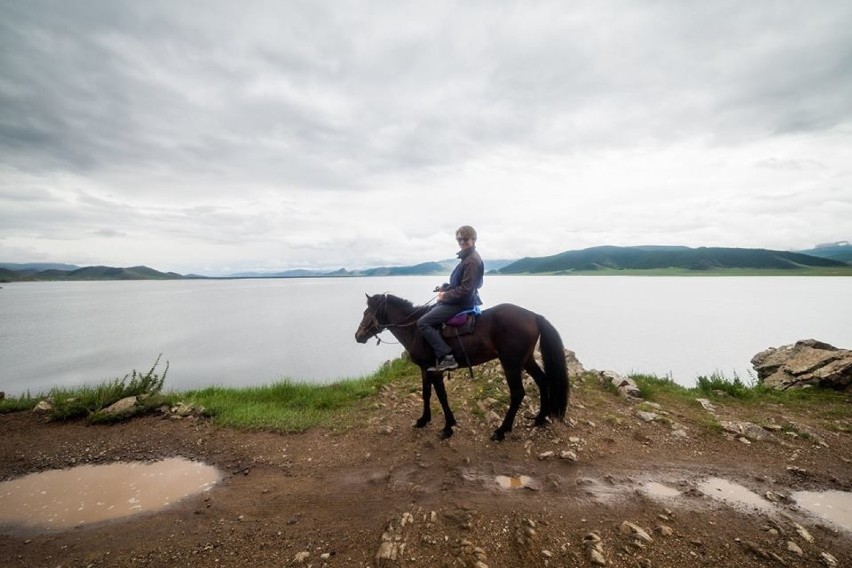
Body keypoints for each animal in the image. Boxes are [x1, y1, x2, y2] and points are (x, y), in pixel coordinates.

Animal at [356, 296, 568, 442]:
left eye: (367, 313)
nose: (358, 336)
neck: (415, 329)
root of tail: (534, 316)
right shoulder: (425, 369)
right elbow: (426, 394)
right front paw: (423, 420)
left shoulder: (435, 370)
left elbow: (441, 396)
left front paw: (448, 427)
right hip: (526, 360)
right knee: (542, 381)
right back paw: (540, 418)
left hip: (511, 364)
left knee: (517, 393)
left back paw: (501, 431)